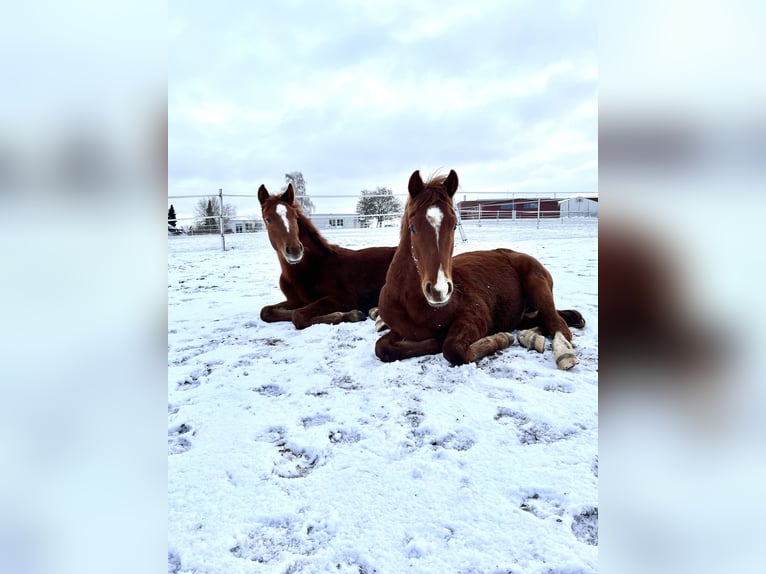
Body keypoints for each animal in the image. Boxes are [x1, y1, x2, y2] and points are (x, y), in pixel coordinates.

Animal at [376, 171, 584, 368]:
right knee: (542, 320)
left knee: (557, 325)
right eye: (412, 227)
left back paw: (561, 352)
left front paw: (501, 338)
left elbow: (453, 349)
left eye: (454, 226)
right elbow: (383, 348)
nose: (438, 291)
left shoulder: (476, 316)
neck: (411, 302)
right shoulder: (400, 331)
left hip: (538, 285)